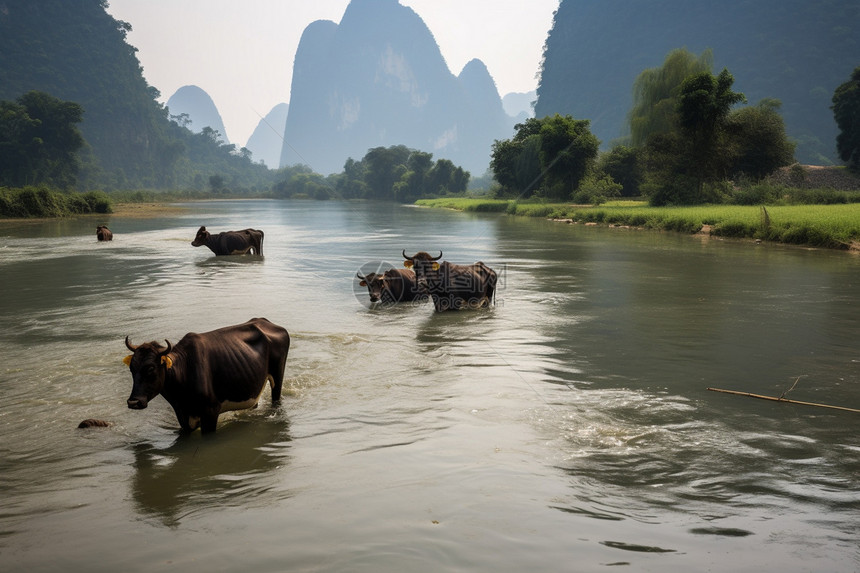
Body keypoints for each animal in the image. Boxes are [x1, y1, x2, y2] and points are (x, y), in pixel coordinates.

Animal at [122, 316, 288, 432]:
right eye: (132, 368)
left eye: (151, 368)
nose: (133, 402)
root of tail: (264, 322)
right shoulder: (183, 417)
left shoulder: (210, 412)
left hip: (278, 375)